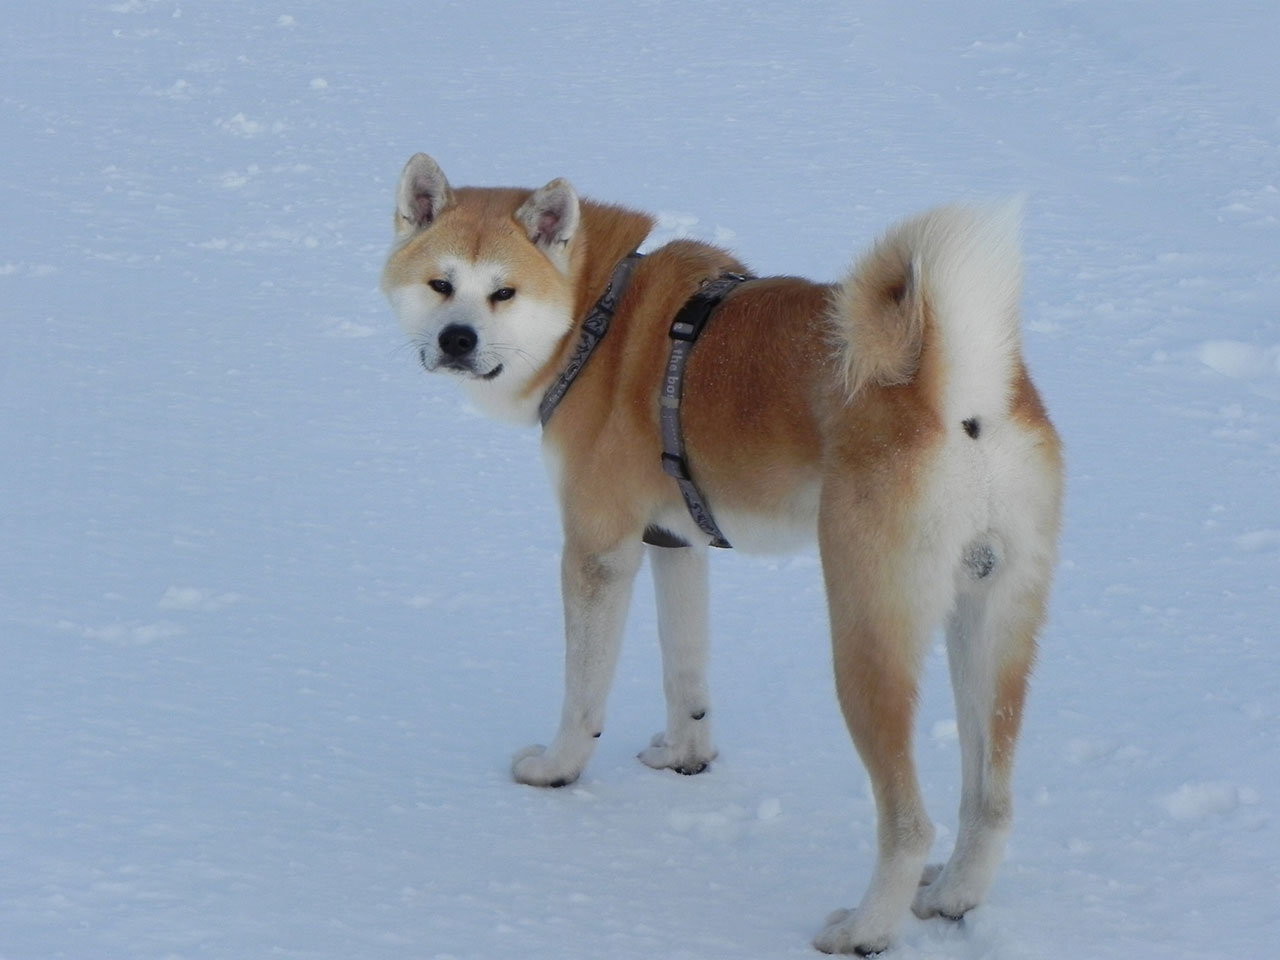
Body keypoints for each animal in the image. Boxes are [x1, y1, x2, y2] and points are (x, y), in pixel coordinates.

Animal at [376, 154, 1059, 957]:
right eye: (440, 284)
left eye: (502, 292)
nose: (456, 339)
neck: (597, 317)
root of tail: (961, 392)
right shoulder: (674, 543)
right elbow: (686, 672)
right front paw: (686, 759)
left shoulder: (599, 552)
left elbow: (583, 694)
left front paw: (556, 771)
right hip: (990, 626)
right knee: (991, 803)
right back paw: (952, 895)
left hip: (867, 636)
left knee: (908, 822)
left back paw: (863, 929)